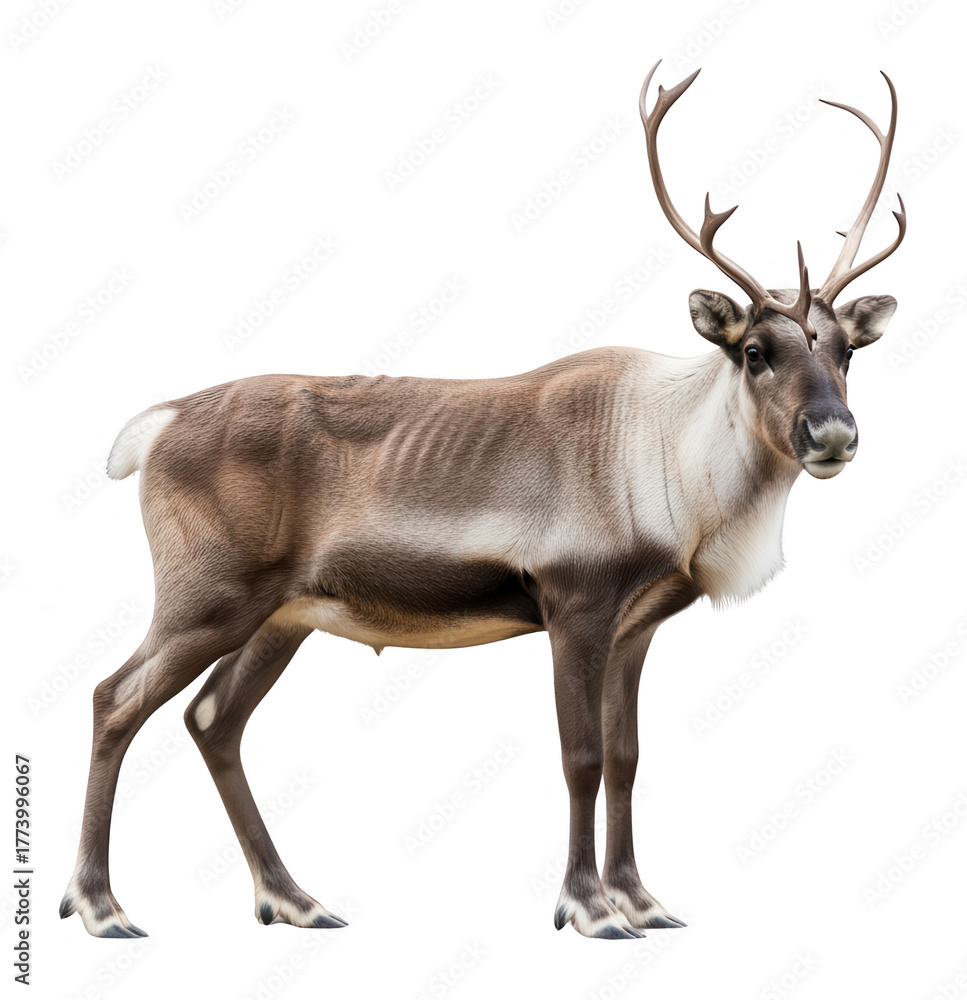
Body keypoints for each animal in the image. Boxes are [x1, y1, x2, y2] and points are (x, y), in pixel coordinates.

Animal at [61, 61, 904, 940]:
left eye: (847, 350)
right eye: (753, 350)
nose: (831, 433)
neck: (673, 465)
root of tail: (156, 425)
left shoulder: (636, 625)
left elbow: (627, 759)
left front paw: (641, 900)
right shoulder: (573, 602)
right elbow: (580, 758)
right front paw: (589, 908)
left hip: (283, 614)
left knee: (211, 718)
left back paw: (293, 899)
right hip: (208, 594)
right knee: (114, 699)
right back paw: (101, 905)